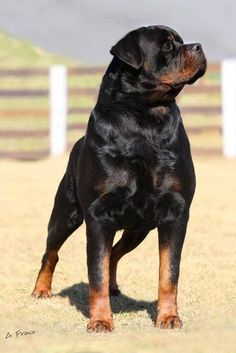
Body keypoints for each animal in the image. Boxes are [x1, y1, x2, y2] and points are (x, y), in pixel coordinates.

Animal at [31, 24, 206, 330]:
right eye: (166, 45)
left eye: (182, 41)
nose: (198, 46)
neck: (146, 117)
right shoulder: (99, 214)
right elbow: (95, 275)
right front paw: (100, 321)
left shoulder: (175, 212)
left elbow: (169, 272)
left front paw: (169, 317)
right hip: (66, 213)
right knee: (51, 251)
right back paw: (41, 290)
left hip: (139, 228)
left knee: (113, 253)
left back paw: (114, 288)